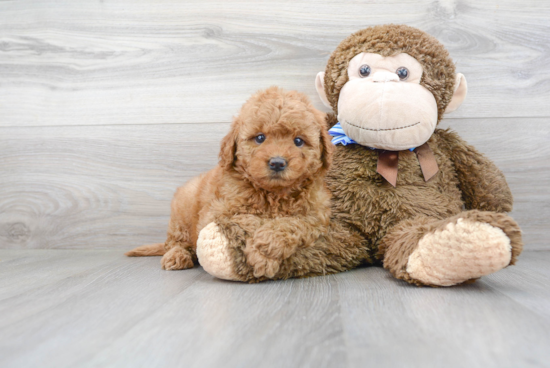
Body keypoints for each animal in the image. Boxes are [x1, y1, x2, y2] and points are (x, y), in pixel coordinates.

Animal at [126, 85, 332, 276]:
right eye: (260, 138)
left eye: (298, 141)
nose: (277, 162)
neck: (273, 194)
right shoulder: (215, 213)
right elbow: (247, 218)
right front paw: (261, 253)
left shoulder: (317, 217)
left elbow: (294, 222)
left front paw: (265, 247)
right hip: (182, 211)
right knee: (177, 242)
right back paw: (177, 255)